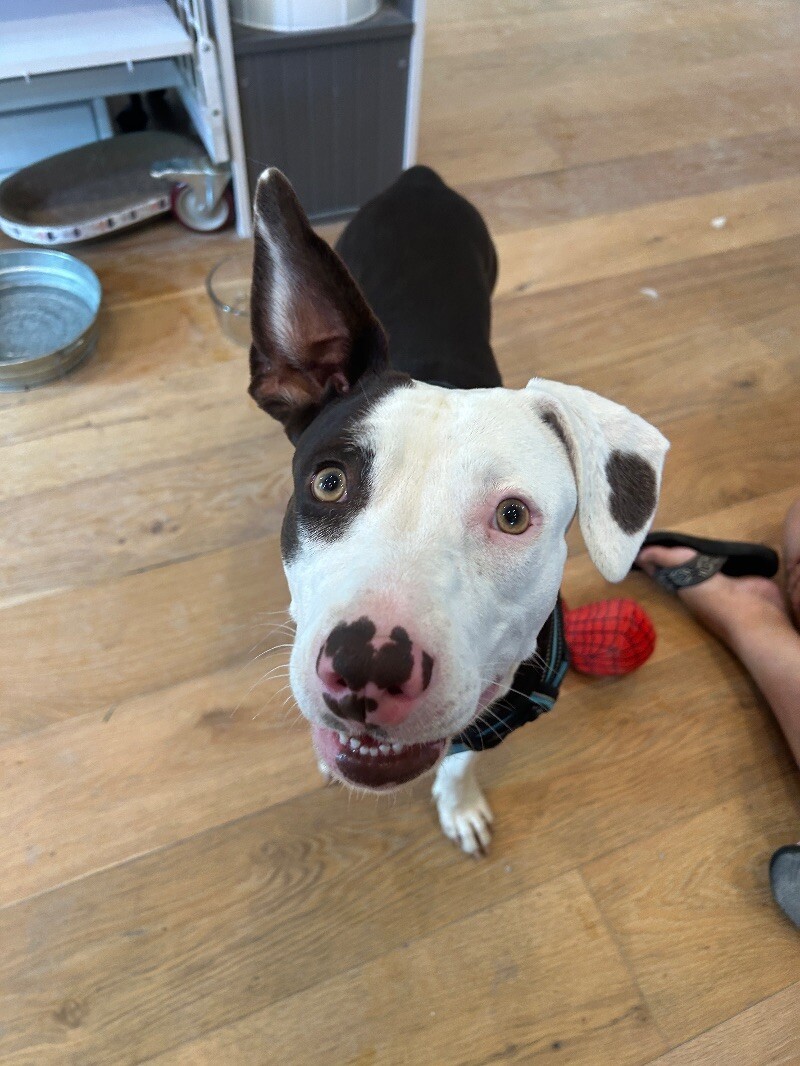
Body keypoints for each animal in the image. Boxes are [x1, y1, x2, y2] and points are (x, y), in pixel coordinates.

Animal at [249, 162, 669, 852]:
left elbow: (461, 753)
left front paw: (459, 802)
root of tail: (420, 176)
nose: (368, 662)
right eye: (330, 483)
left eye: (512, 516)